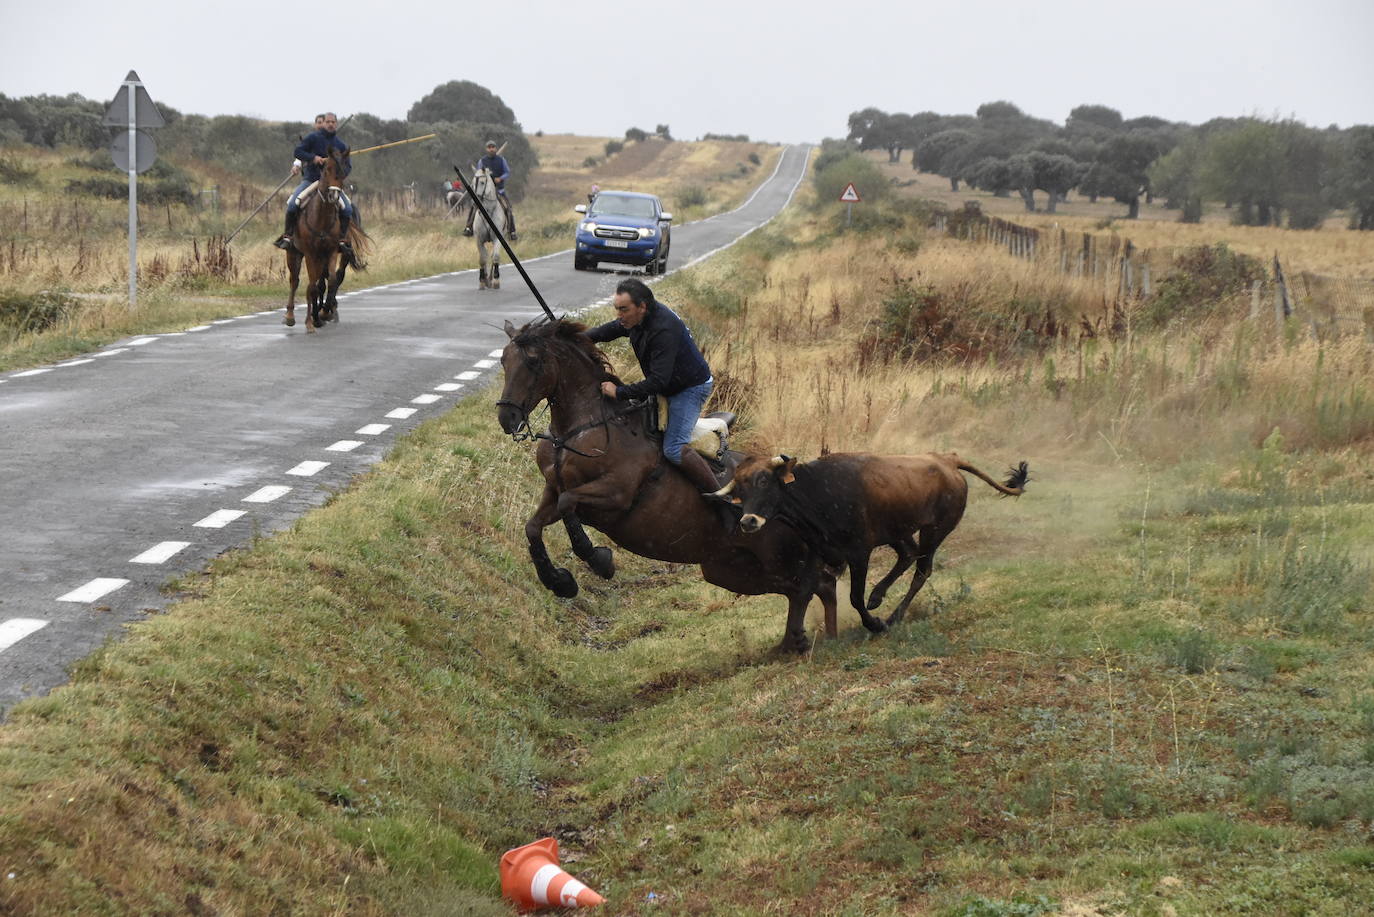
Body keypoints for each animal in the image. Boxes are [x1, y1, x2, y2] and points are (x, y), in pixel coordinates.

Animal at [284, 149, 370, 335]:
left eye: (343, 171)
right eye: (325, 170)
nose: (334, 195)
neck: (321, 217)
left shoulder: (330, 252)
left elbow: (330, 280)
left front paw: (324, 312)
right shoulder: (311, 254)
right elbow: (313, 286)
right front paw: (313, 320)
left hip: (339, 255)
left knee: (334, 277)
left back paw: (327, 310)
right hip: (294, 253)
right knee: (295, 281)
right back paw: (290, 316)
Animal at [494, 318, 835, 657]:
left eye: (533, 361)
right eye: (503, 361)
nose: (507, 417)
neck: (582, 428)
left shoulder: (616, 494)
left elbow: (568, 503)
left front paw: (599, 560)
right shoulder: (553, 492)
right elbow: (533, 526)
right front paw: (559, 582)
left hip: (775, 555)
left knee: (810, 585)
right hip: (731, 570)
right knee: (810, 586)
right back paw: (800, 641)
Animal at [714, 453, 1027, 637]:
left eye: (764, 481)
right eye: (739, 490)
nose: (748, 521)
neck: (815, 494)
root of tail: (947, 460)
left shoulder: (858, 553)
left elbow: (854, 597)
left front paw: (874, 624)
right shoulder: (819, 551)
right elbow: (804, 590)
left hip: (935, 530)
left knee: (922, 570)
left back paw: (894, 616)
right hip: (897, 529)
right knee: (908, 555)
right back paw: (878, 595)